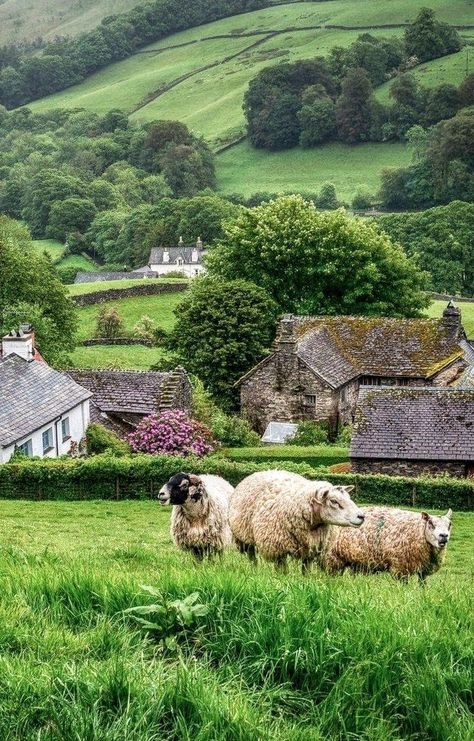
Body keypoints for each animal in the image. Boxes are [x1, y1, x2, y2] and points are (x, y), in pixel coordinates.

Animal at [228, 468, 364, 572]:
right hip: (244, 537)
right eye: (333, 501)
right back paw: (254, 570)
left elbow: (306, 570)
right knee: (252, 556)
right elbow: (282, 570)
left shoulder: (310, 550)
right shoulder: (277, 549)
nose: (361, 516)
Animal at [320, 506, 454, 580]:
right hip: (333, 559)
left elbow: (423, 585)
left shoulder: (423, 570)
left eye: (450, 524)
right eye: (431, 523)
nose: (444, 536)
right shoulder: (399, 567)